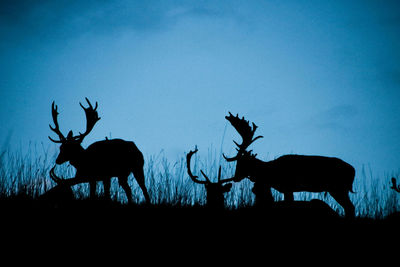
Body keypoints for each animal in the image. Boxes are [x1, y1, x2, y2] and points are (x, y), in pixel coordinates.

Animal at [222, 112, 356, 219]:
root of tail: (353, 170)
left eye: (243, 163)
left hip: (337, 187)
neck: (270, 173)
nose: (236, 177)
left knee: (350, 207)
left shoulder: (287, 186)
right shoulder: (288, 189)